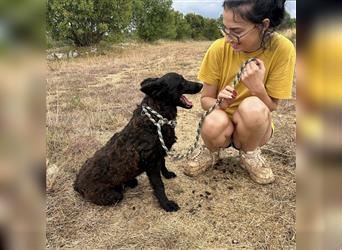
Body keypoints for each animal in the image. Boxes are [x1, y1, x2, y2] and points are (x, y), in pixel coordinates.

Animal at [74, 72, 203, 211]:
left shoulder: (160, 154)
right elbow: (159, 186)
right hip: (114, 196)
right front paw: (166, 204)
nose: (201, 85)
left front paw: (167, 174)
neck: (156, 119)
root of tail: (76, 184)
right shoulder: (151, 164)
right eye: (181, 81)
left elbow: (163, 164)